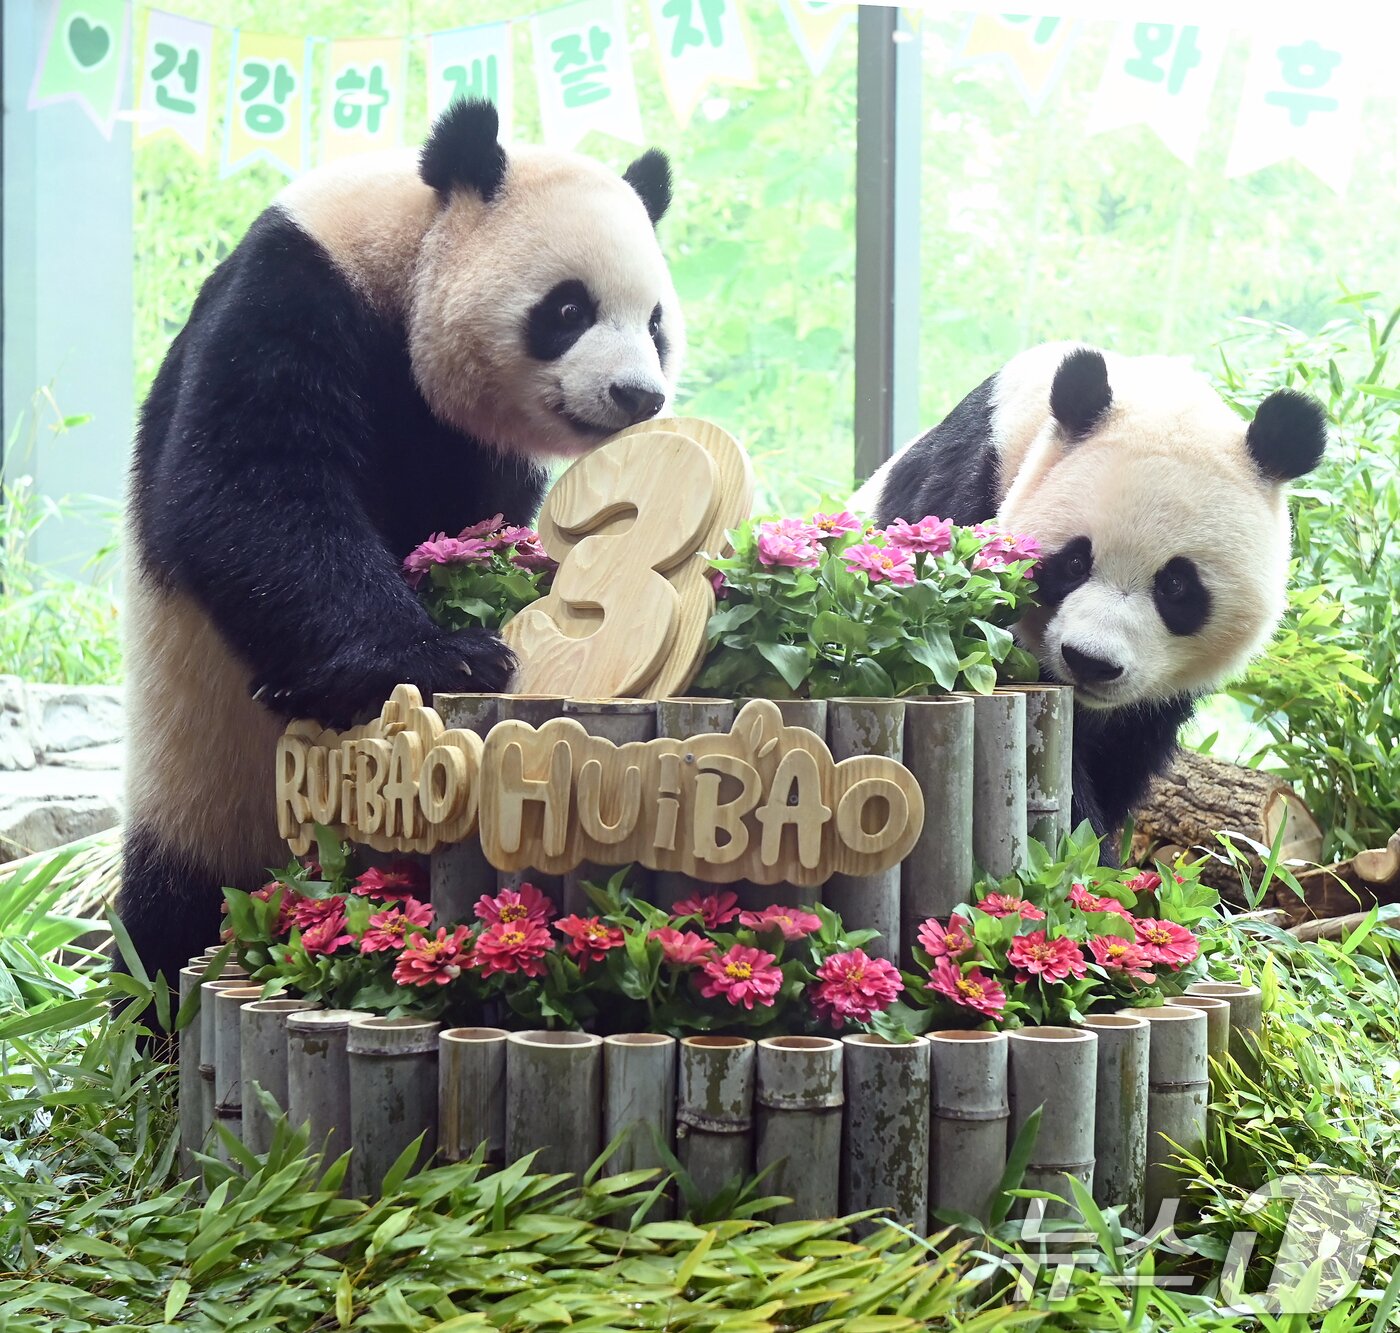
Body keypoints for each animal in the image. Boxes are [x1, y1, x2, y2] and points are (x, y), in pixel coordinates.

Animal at [120, 99, 684, 998]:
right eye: (568, 310)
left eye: (656, 323)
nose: (637, 394)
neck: (407, 248)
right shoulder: (293, 290)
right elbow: (251, 489)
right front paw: (447, 655)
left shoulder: (470, 443)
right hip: (196, 775)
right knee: (166, 922)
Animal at [851, 342, 1328, 856]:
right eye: (1076, 562)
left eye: (1176, 585)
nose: (1090, 662)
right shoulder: (966, 498)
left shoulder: (1153, 702)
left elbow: (1123, 756)